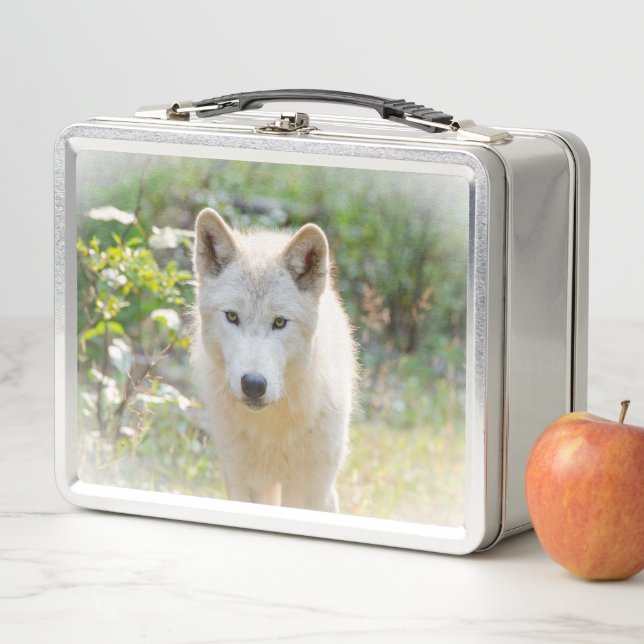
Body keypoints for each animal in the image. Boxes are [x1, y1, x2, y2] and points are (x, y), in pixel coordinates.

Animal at [191, 208, 357, 512]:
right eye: (232, 316)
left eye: (280, 322)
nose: (253, 385)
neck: (272, 427)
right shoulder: (245, 484)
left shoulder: (312, 489)